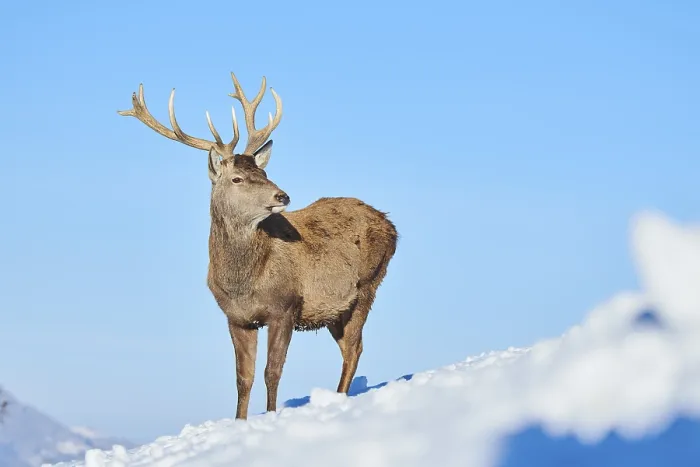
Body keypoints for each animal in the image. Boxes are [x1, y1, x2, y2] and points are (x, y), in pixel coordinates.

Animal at [117, 72, 398, 420]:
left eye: (263, 171)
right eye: (237, 178)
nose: (282, 195)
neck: (243, 282)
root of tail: (391, 225)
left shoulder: (285, 307)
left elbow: (272, 371)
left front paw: (271, 415)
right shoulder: (236, 317)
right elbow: (243, 377)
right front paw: (240, 420)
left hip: (366, 286)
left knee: (354, 348)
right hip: (336, 310)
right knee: (350, 347)